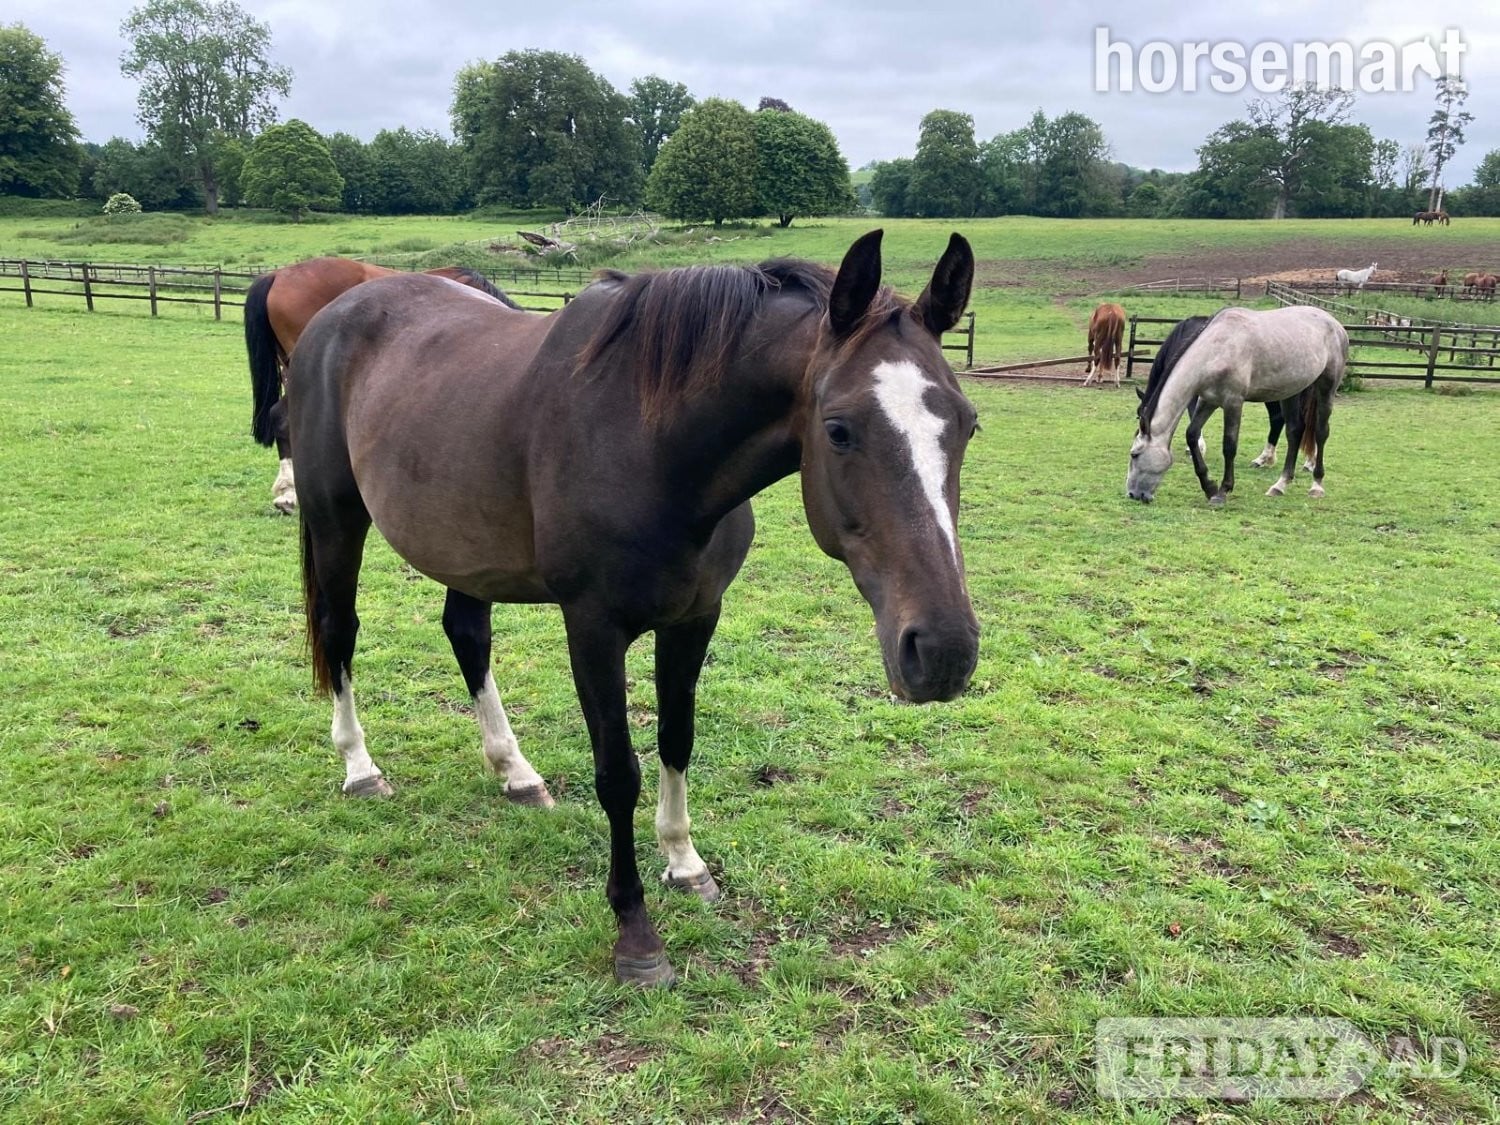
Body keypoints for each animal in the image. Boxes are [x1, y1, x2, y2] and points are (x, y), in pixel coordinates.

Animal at [282, 230, 981, 987]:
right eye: (840, 429)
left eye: (968, 424)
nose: (943, 650)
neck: (651, 443)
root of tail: (338, 310)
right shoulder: (593, 627)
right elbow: (619, 773)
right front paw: (636, 935)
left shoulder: (696, 617)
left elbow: (676, 740)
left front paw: (685, 864)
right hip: (336, 518)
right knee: (340, 631)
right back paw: (360, 768)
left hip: (463, 543)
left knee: (466, 634)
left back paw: (516, 773)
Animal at [1127, 306, 1347, 505]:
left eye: (1135, 454)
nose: (1132, 494)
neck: (1216, 349)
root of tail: (1335, 324)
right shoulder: (1208, 400)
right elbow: (1191, 434)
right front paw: (1209, 487)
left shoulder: (1233, 402)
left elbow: (1229, 445)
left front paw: (1222, 491)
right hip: (1291, 391)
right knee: (1294, 431)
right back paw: (1280, 485)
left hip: (1326, 388)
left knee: (1320, 432)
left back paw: (1316, 485)